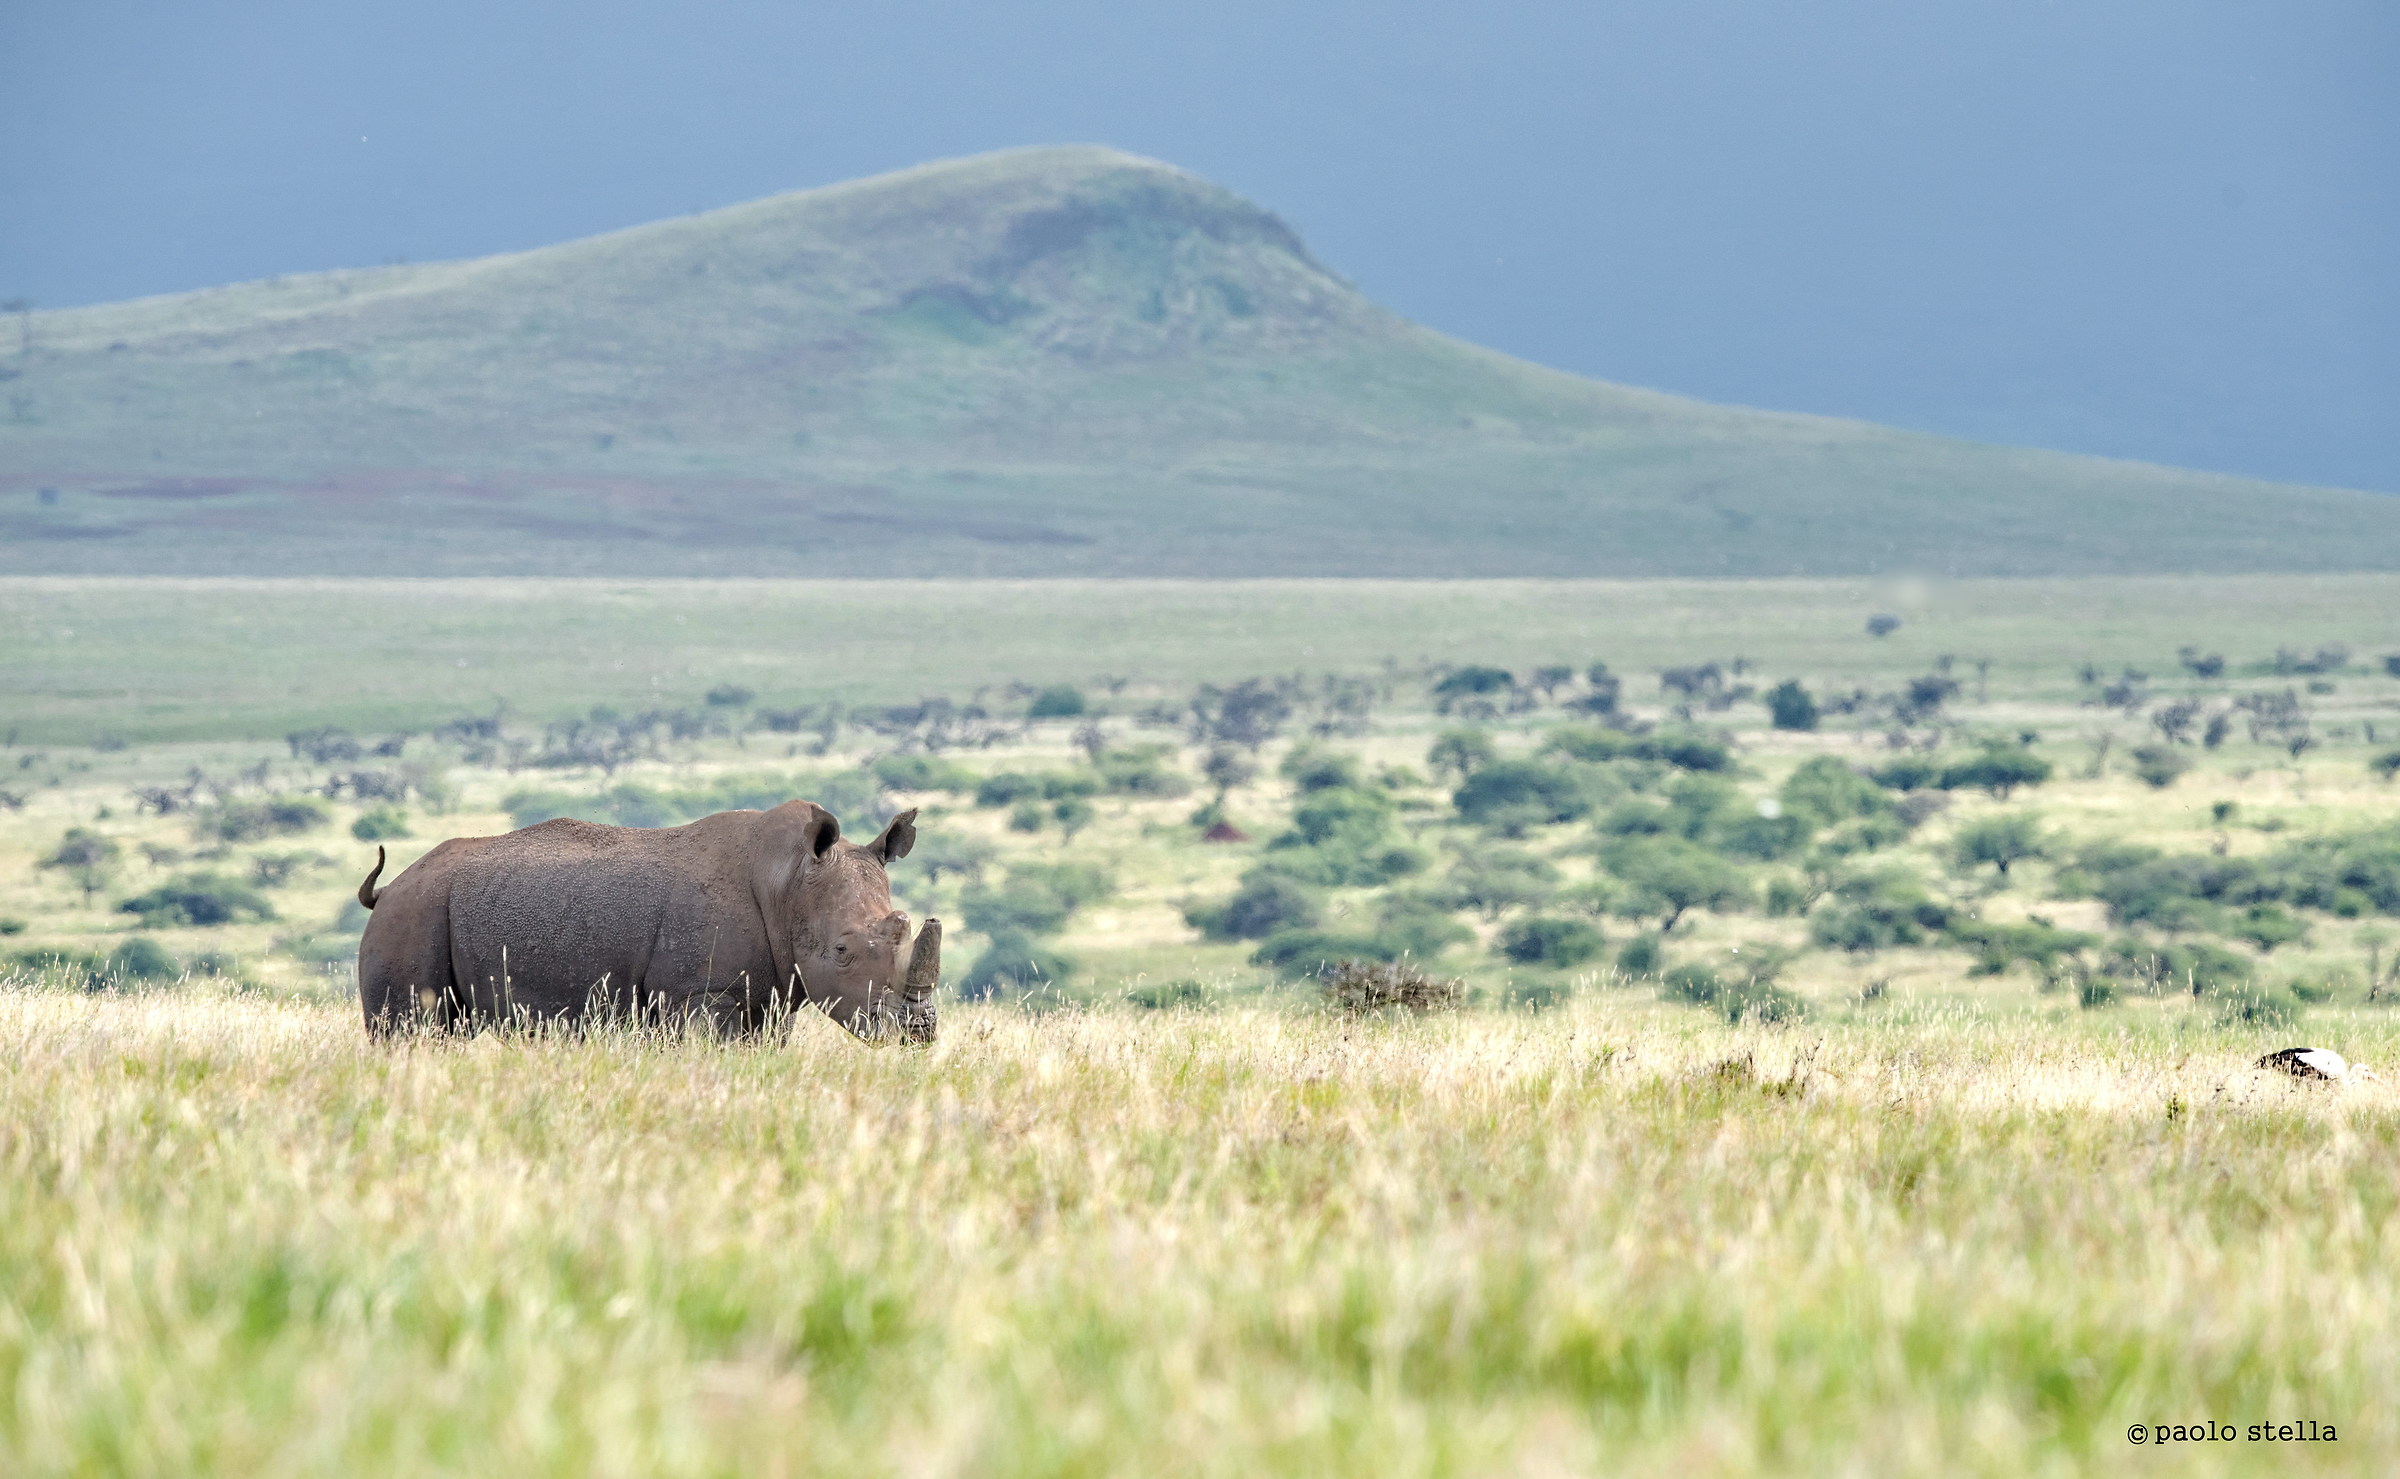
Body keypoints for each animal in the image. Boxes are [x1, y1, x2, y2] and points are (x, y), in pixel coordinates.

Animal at [352, 800, 939, 1041]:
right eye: (842, 951)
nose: (917, 1033)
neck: (789, 881)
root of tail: (392, 885)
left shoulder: (772, 989)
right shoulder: (698, 992)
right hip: (415, 911)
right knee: (414, 1030)